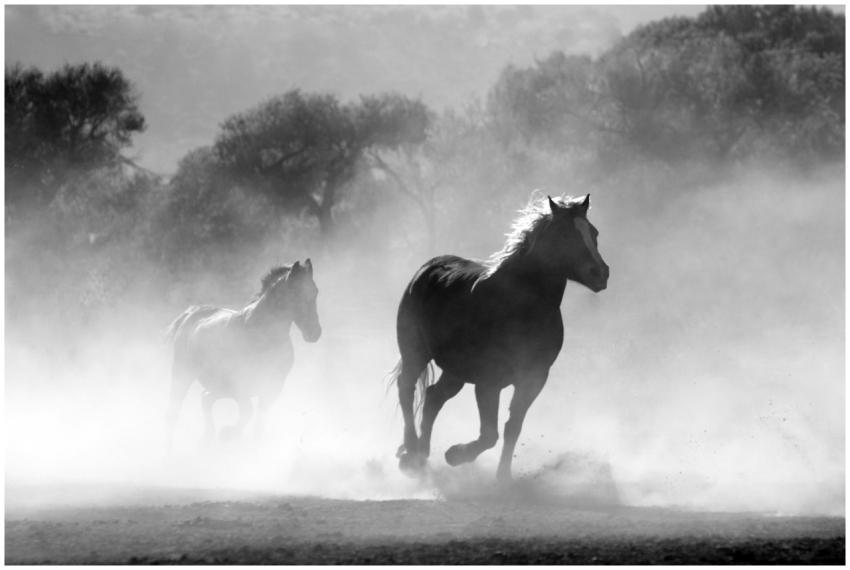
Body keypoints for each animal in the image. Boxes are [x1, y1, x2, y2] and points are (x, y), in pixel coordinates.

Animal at [165, 259, 321, 448]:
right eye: (296, 293)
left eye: (315, 291)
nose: (314, 333)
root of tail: (191, 313)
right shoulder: (241, 385)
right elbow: (248, 412)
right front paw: (228, 433)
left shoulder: (272, 389)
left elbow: (259, 425)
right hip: (183, 374)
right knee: (174, 410)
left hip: (219, 386)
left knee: (206, 399)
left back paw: (208, 438)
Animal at [389, 193, 609, 481]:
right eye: (564, 234)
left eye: (593, 232)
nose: (601, 273)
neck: (521, 307)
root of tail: (427, 268)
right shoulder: (488, 382)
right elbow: (489, 434)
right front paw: (455, 455)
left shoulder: (533, 378)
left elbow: (512, 427)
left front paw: (503, 477)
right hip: (415, 352)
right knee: (407, 388)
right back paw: (411, 453)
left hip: (456, 371)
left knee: (434, 397)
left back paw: (422, 454)